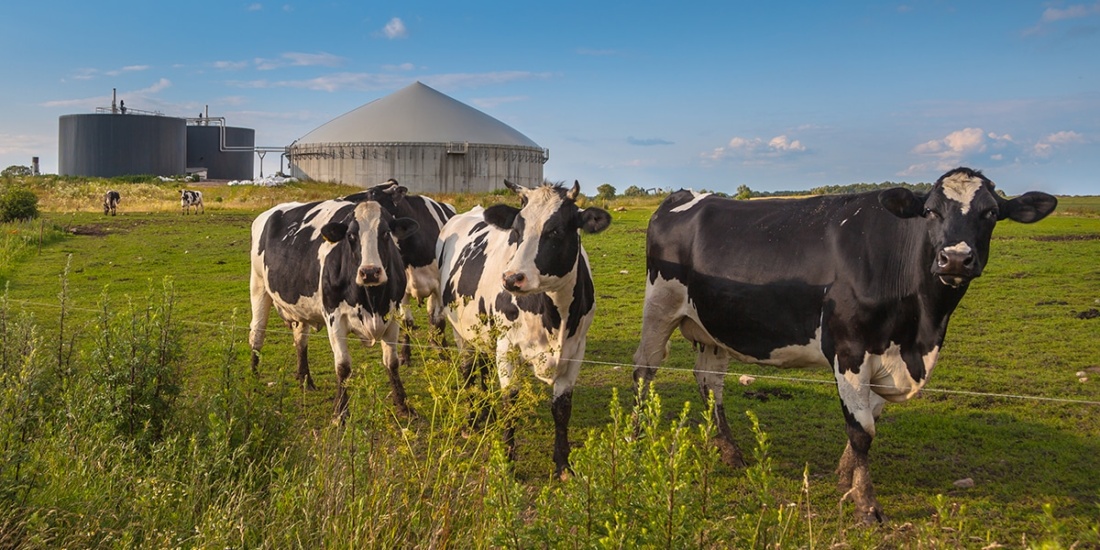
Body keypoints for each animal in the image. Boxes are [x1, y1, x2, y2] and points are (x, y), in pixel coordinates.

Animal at [250, 198, 420, 415]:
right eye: (351, 235)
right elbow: (343, 366)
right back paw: (254, 381)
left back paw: (305, 380)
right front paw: (340, 411)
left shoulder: (393, 315)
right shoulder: (335, 318)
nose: (370, 272)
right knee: (257, 334)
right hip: (258, 286)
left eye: (385, 233)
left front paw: (404, 405)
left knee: (300, 340)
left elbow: (392, 363)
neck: (371, 301)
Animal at [343, 178, 455, 363]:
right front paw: (405, 354)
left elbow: (439, 320)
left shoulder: (439, 286)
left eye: (373, 193)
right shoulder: (402, 288)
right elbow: (406, 322)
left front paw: (444, 352)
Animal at [435, 181, 611, 477]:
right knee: (468, 371)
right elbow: (511, 402)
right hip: (461, 331)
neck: (554, 316)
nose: (511, 278)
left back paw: (486, 413)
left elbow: (562, 408)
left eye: (555, 230)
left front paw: (563, 464)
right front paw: (507, 462)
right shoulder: (507, 347)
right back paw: (472, 421)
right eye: (517, 230)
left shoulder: (576, 350)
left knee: (483, 367)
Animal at [633, 167, 1060, 523]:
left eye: (991, 212)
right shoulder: (850, 349)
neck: (920, 333)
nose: (955, 259)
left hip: (711, 327)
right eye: (930, 212)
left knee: (710, 383)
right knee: (644, 369)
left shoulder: (888, 357)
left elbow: (872, 418)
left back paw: (730, 452)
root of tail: (685, 194)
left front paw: (846, 478)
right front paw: (866, 504)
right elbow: (862, 430)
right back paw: (636, 437)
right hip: (660, 306)